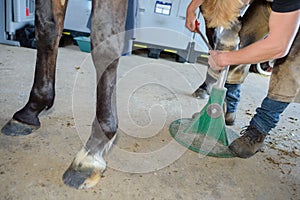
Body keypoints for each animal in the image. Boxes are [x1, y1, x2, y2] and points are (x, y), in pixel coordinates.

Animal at [1, 0, 298, 189]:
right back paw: (212, 91)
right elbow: (47, 25)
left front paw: (94, 149)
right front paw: (30, 110)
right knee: (229, 40)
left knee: (233, 42)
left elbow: (105, 38)